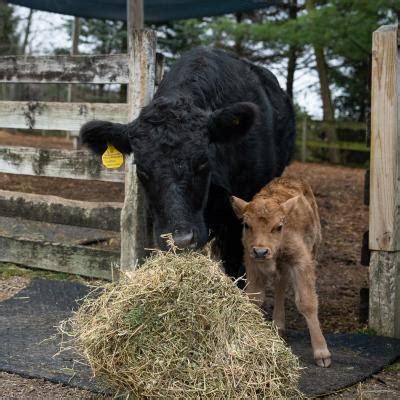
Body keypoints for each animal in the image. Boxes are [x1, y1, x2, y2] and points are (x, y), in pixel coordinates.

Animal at [231, 177, 332, 368]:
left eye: (278, 226)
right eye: (247, 225)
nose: (261, 251)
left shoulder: (301, 261)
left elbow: (307, 303)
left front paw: (322, 354)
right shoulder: (251, 261)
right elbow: (255, 298)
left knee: (281, 284)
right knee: (280, 284)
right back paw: (278, 325)